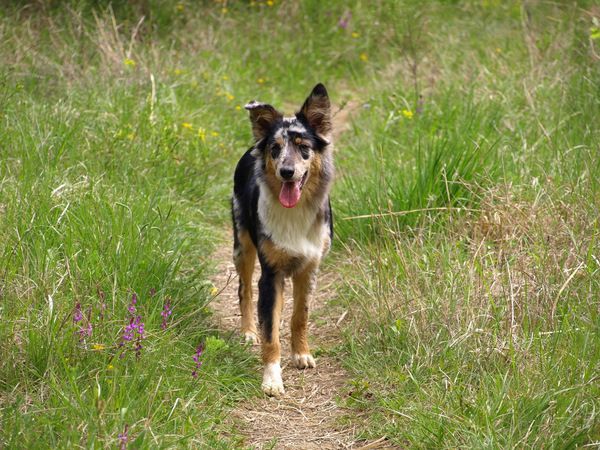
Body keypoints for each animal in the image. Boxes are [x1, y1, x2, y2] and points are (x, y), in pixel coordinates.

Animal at [231, 82, 336, 396]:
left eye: (304, 148)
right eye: (276, 149)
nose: (286, 172)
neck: (294, 212)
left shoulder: (310, 268)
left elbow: (300, 316)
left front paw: (301, 354)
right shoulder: (271, 274)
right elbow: (270, 333)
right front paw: (272, 379)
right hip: (242, 246)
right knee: (244, 290)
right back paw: (248, 332)